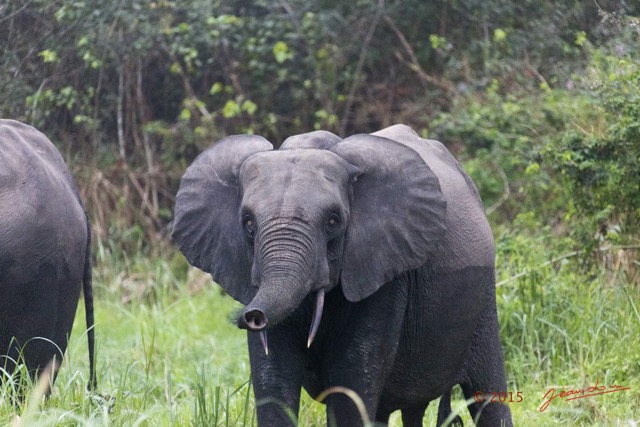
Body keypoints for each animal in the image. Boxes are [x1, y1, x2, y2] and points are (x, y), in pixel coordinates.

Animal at [172, 124, 512, 427]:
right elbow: (273, 378)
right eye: (248, 223)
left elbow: (351, 376)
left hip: (483, 298)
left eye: (333, 221)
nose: (252, 316)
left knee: (488, 394)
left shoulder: (385, 270)